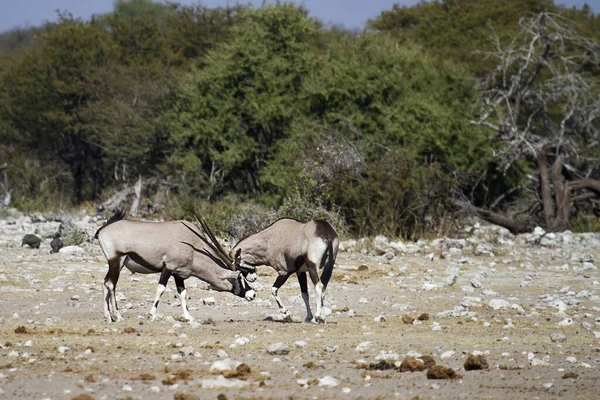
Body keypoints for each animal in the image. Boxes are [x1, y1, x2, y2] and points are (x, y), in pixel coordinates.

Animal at [94, 209, 255, 322]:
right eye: (239, 278)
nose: (252, 294)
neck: (193, 246)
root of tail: (102, 229)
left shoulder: (179, 273)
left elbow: (182, 293)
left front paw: (189, 317)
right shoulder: (168, 267)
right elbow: (161, 289)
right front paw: (152, 314)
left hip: (117, 264)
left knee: (105, 283)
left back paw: (108, 316)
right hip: (116, 261)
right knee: (110, 284)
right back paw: (117, 316)